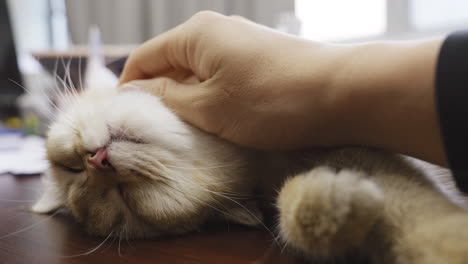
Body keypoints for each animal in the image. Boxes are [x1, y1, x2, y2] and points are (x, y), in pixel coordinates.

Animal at [33, 68, 468, 264]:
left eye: (70, 166)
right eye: (126, 202)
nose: (96, 160)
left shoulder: (370, 152)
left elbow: (418, 213)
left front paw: (444, 241)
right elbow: (290, 206)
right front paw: (330, 209)